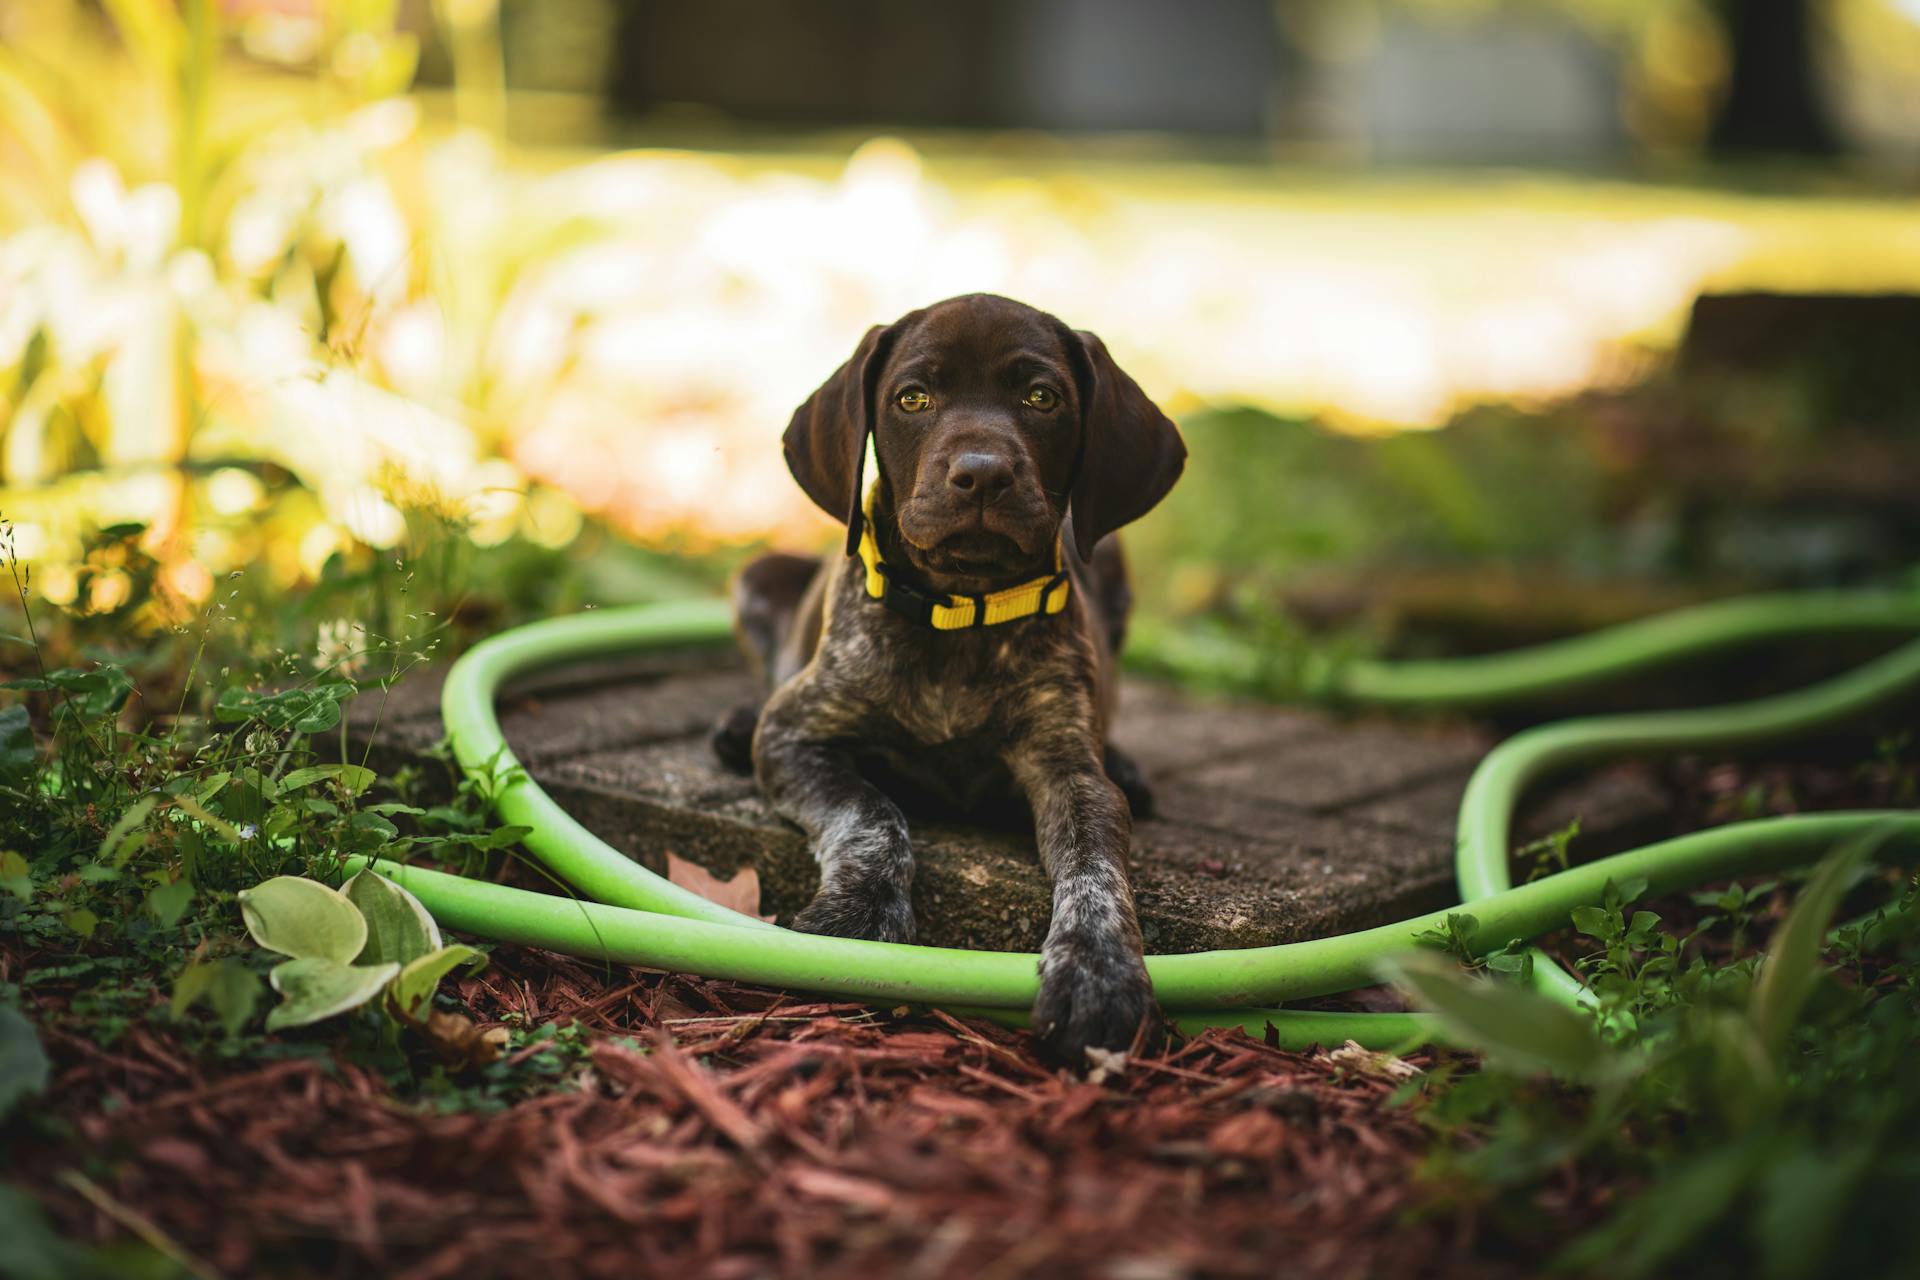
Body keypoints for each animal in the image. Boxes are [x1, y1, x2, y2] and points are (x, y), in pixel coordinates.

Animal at [714, 295, 1175, 1066]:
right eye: (913, 398)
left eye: (1042, 397)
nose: (982, 474)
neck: (961, 612)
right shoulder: (796, 736)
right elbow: (871, 813)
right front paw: (859, 916)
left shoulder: (1069, 770)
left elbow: (1096, 864)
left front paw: (1098, 969)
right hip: (759, 575)